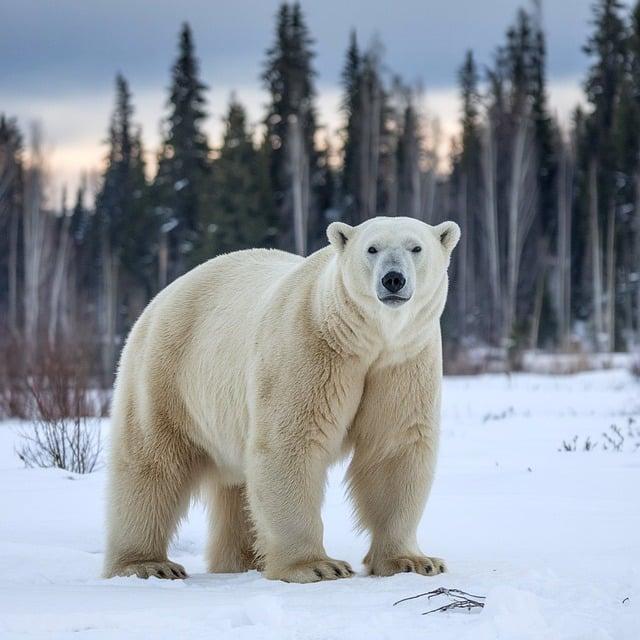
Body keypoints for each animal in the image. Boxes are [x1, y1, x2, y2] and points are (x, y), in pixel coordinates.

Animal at [104, 215, 460, 580]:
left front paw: (414, 561)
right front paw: (317, 566)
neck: (364, 339)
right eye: (371, 249)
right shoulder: (311, 347)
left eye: (416, 248)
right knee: (151, 463)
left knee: (236, 486)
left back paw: (243, 560)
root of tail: (163, 295)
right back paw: (147, 564)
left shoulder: (403, 361)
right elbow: (290, 442)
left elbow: (394, 448)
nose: (393, 279)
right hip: (166, 372)